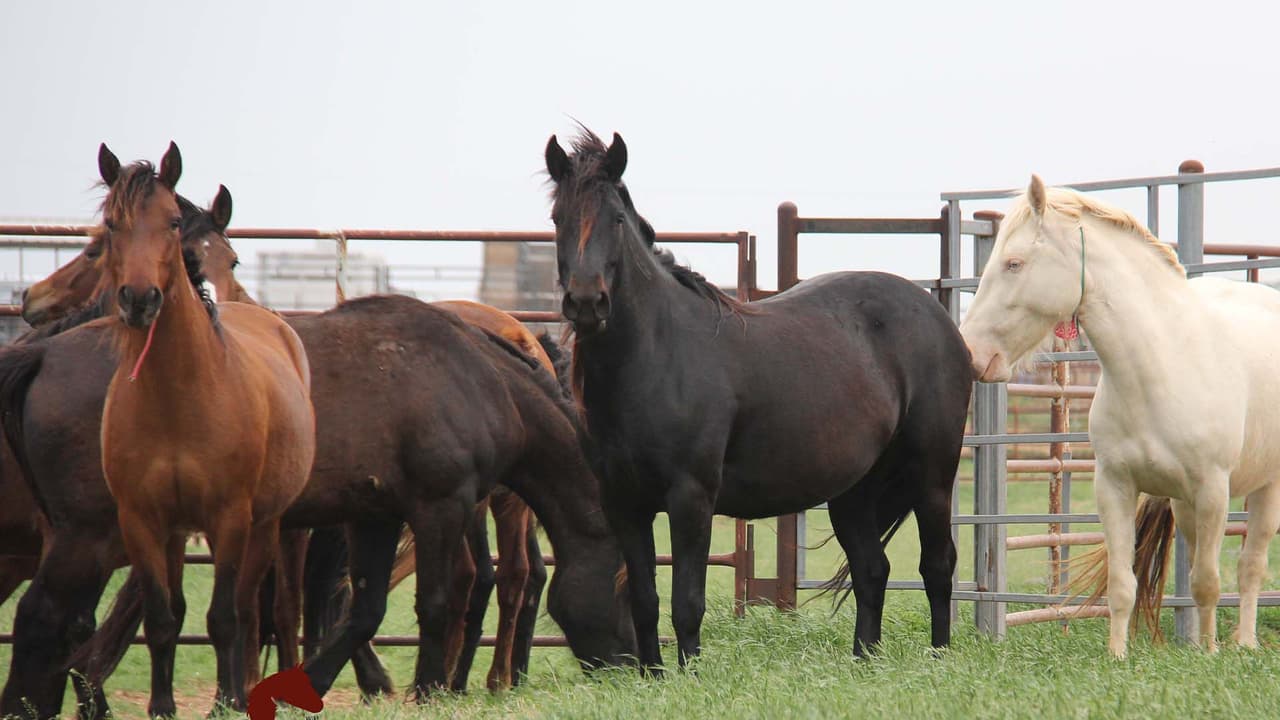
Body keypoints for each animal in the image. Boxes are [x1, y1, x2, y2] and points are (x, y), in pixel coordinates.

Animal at [544, 128, 973, 671]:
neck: (658, 357)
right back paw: (863, 662)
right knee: (872, 570)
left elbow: (687, 602)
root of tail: (936, 313)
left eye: (616, 219)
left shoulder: (691, 497)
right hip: (854, 490)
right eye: (558, 218)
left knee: (937, 565)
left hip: (931, 475)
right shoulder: (623, 503)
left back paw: (940, 659)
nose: (586, 302)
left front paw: (688, 676)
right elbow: (644, 600)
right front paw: (654, 678)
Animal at [960, 176, 1280, 658]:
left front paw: (1210, 655)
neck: (1161, 370)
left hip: (1265, 487)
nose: (972, 353)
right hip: (1184, 505)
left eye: (1014, 263)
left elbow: (1208, 582)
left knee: (1250, 566)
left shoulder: (1213, 490)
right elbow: (1122, 584)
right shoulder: (1115, 487)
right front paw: (1118, 656)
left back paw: (1243, 643)